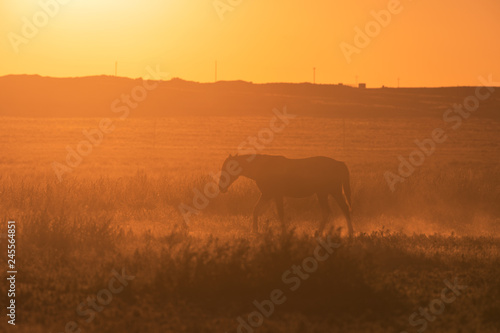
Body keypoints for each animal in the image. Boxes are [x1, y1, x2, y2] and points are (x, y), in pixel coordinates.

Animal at [217, 154, 354, 235]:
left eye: (228, 167)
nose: (221, 187)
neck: (262, 167)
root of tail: (339, 164)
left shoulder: (276, 195)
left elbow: (280, 213)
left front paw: (284, 232)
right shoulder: (267, 194)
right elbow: (256, 210)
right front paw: (255, 230)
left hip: (330, 192)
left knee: (338, 210)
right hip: (326, 193)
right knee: (334, 211)